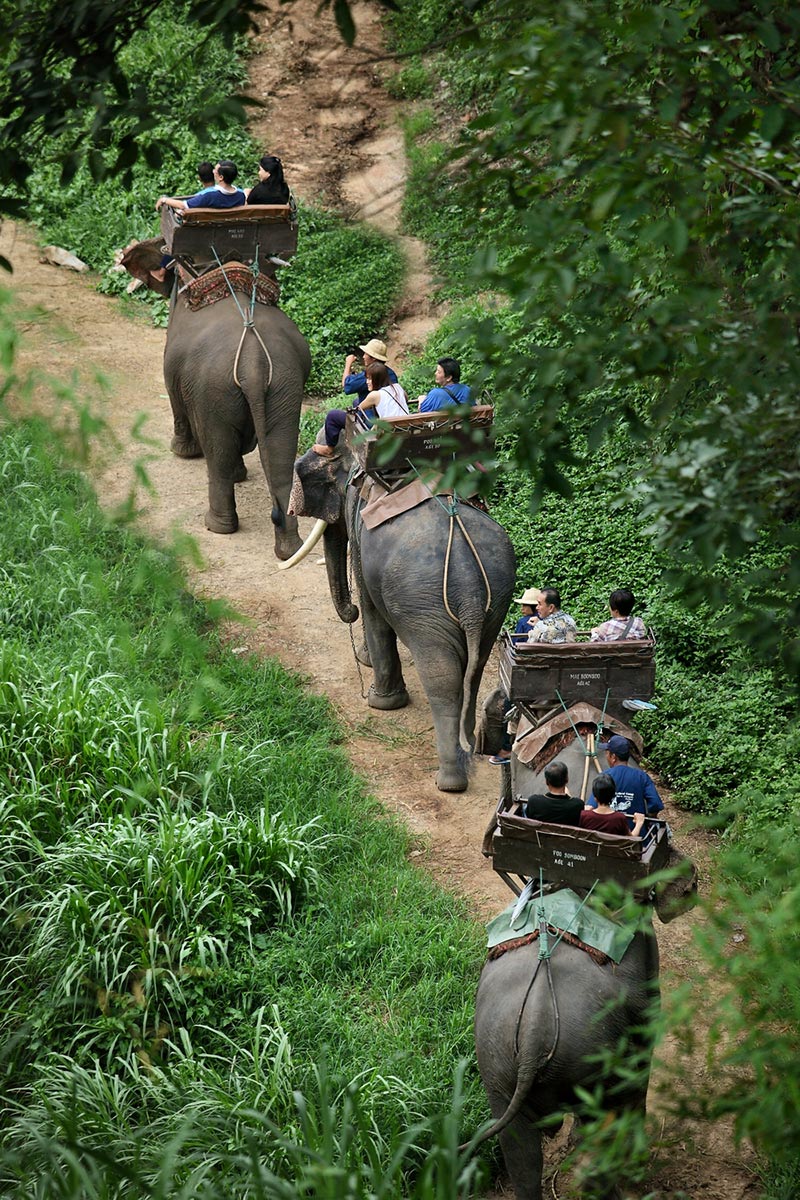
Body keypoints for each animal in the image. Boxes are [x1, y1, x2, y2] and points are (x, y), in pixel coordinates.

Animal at [120, 242, 311, 561]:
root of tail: (253, 361)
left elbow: (173, 393)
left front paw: (182, 452)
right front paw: (240, 472)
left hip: (214, 389)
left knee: (218, 452)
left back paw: (217, 525)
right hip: (284, 386)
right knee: (280, 455)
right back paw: (289, 549)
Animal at [284, 446, 515, 792]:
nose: (349, 611)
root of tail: (470, 586)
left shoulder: (359, 527)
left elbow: (372, 608)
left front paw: (380, 701)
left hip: (424, 604)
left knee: (442, 678)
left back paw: (449, 782)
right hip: (494, 601)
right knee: (475, 669)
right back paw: (470, 747)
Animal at [472, 849, 695, 1200]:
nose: (693, 881)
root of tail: (534, 1032)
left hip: (496, 1064)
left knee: (520, 1153)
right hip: (584, 1060)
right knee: (598, 1134)